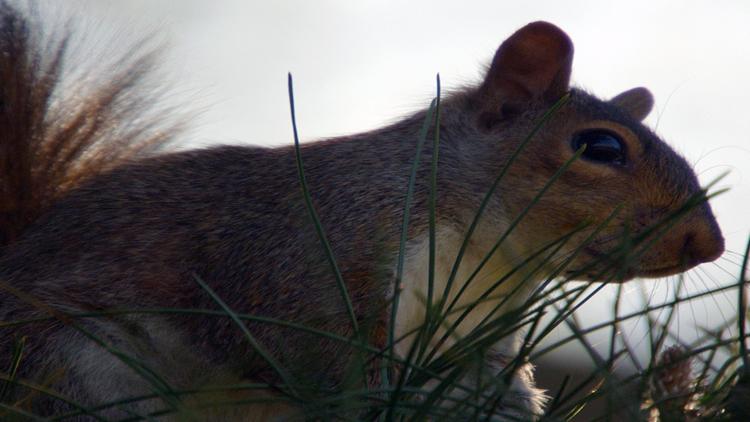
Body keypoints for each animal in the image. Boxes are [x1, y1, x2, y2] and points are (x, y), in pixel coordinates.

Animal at [0, 3, 728, 422]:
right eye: (601, 148)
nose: (710, 243)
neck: (485, 256)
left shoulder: (473, 345)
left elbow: (491, 392)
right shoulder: (313, 274)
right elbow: (334, 370)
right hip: (77, 367)